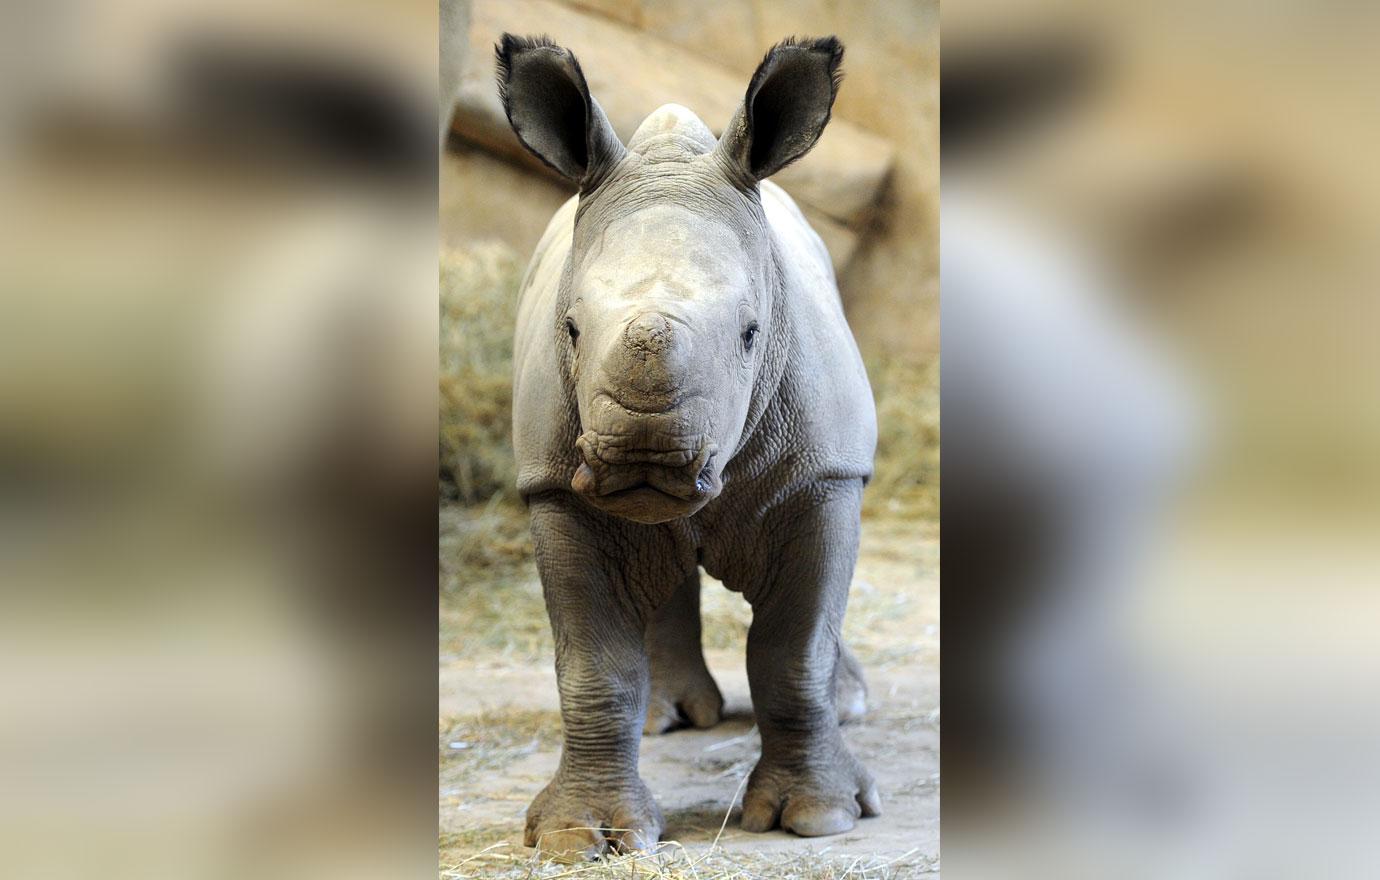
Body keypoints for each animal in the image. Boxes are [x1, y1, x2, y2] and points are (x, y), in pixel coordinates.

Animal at [502, 34, 877, 860]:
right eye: (571, 329)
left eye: (751, 334)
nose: (645, 458)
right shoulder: (555, 486)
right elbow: (592, 667)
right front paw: (581, 836)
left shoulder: (824, 477)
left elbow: (793, 653)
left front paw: (818, 817)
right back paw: (668, 719)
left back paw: (850, 706)